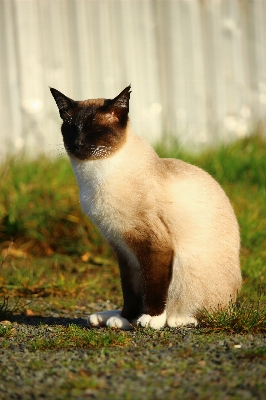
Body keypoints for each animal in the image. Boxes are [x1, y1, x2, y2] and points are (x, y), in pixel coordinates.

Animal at [50, 83, 243, 328]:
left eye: (95, 130)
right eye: (71, 129)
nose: (77, 144)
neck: (94, 177)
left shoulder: (153, 244)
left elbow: (153, 286)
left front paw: (152, 319)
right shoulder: (122, 248)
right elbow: (131, 292)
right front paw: (125, 318)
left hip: (186, 269)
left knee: (203, 314)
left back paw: (177, 318)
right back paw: (109, 318)